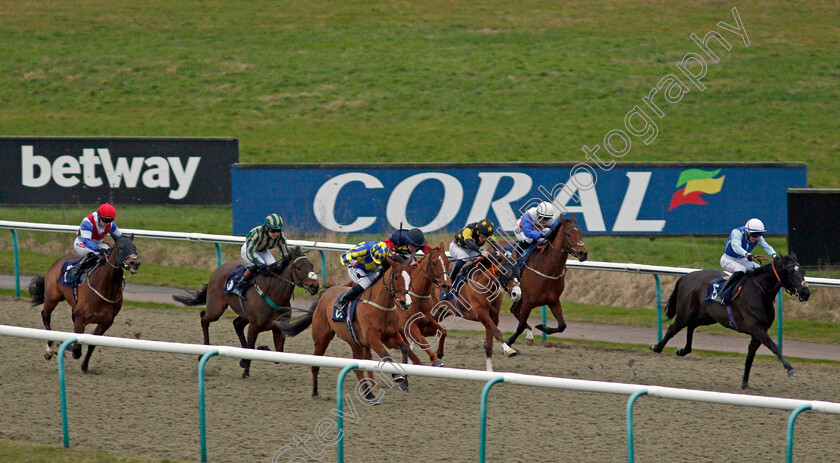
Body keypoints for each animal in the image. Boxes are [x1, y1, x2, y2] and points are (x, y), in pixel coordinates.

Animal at [29, 236, 141, 374]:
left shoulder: (106, 321)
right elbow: (77, 350)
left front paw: (85, 366)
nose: (135, 263)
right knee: (45, 316)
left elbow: (91, 344)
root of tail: (56, 262)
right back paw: (49, 351)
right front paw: (66, 345)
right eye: (121, 247)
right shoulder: (81, 318)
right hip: (52, 298)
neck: (105, 288)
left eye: (134, 247)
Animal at [171, 245, 318, 378]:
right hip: (216, 309)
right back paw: (203, 351)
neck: (273, 294)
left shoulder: (279, 328)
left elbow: (278, 355)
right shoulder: (254, 326)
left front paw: (248, 360)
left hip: (244, 315)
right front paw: (247, 366)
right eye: (298, 267)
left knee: (237, 324)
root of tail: (219, 269)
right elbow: (251, 347)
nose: (315, 286)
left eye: (311, 266)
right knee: (204, 317)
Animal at [278, 256, 416, 400]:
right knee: (316, 363)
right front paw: (397, 375)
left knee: (357, 368)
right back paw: (315, 391)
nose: (406, 303)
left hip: (355, 343)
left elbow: (405, 349)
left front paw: (404, 382)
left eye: (410, 278)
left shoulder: (390, 336)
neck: (380, 306)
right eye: (396, 277)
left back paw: (369, 395)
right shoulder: (372, 338)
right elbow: (387, 356)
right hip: (321, 339)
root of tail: (325, 294)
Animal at [506, 216, 592, 350]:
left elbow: (562, 325)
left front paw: (542, 327)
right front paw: (508, 342)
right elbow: (519, 327)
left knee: (513, 310)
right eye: (568, 234)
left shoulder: (553, 300)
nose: (583, 253)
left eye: (580, 233)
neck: (549, 268)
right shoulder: (528, 301)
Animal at [648, 256, 808, 390]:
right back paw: (656, 347)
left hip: (707, 316)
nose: (805, 293)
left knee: (691, 326)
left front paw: (745, 383)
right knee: (672, 328)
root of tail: (686, 276)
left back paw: (682, 350)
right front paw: (790, 369)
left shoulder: (758, 331)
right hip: (685, 315)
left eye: (803, 271)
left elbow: (750, 355)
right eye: (790, 272)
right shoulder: (757, 329)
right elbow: (774, 347)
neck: (759, 291)